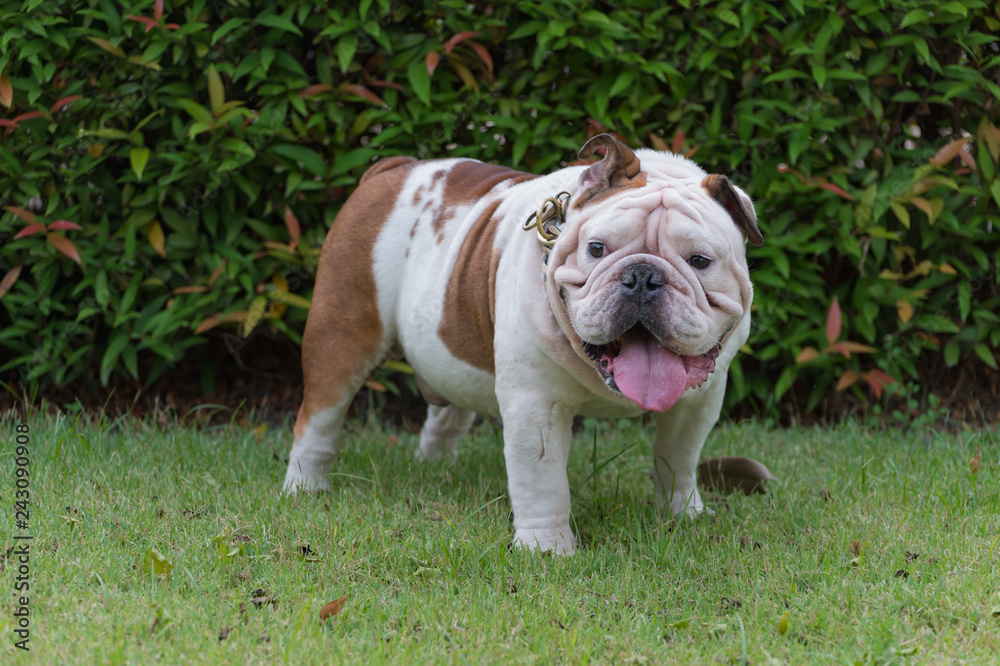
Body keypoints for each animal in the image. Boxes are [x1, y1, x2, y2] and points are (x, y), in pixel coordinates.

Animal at [282, 132, 764, 552]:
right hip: (341, 334)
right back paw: (305, 487)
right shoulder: (537, 407)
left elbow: (677, 458)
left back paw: (437, 467)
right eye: (596, 249)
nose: (643, 276)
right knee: (320, 418)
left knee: (445, 413)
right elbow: (542, 481)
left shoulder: (698, 403)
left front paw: (683, 513)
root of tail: (393, 168)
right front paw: (547, 548)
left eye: (700, 261)